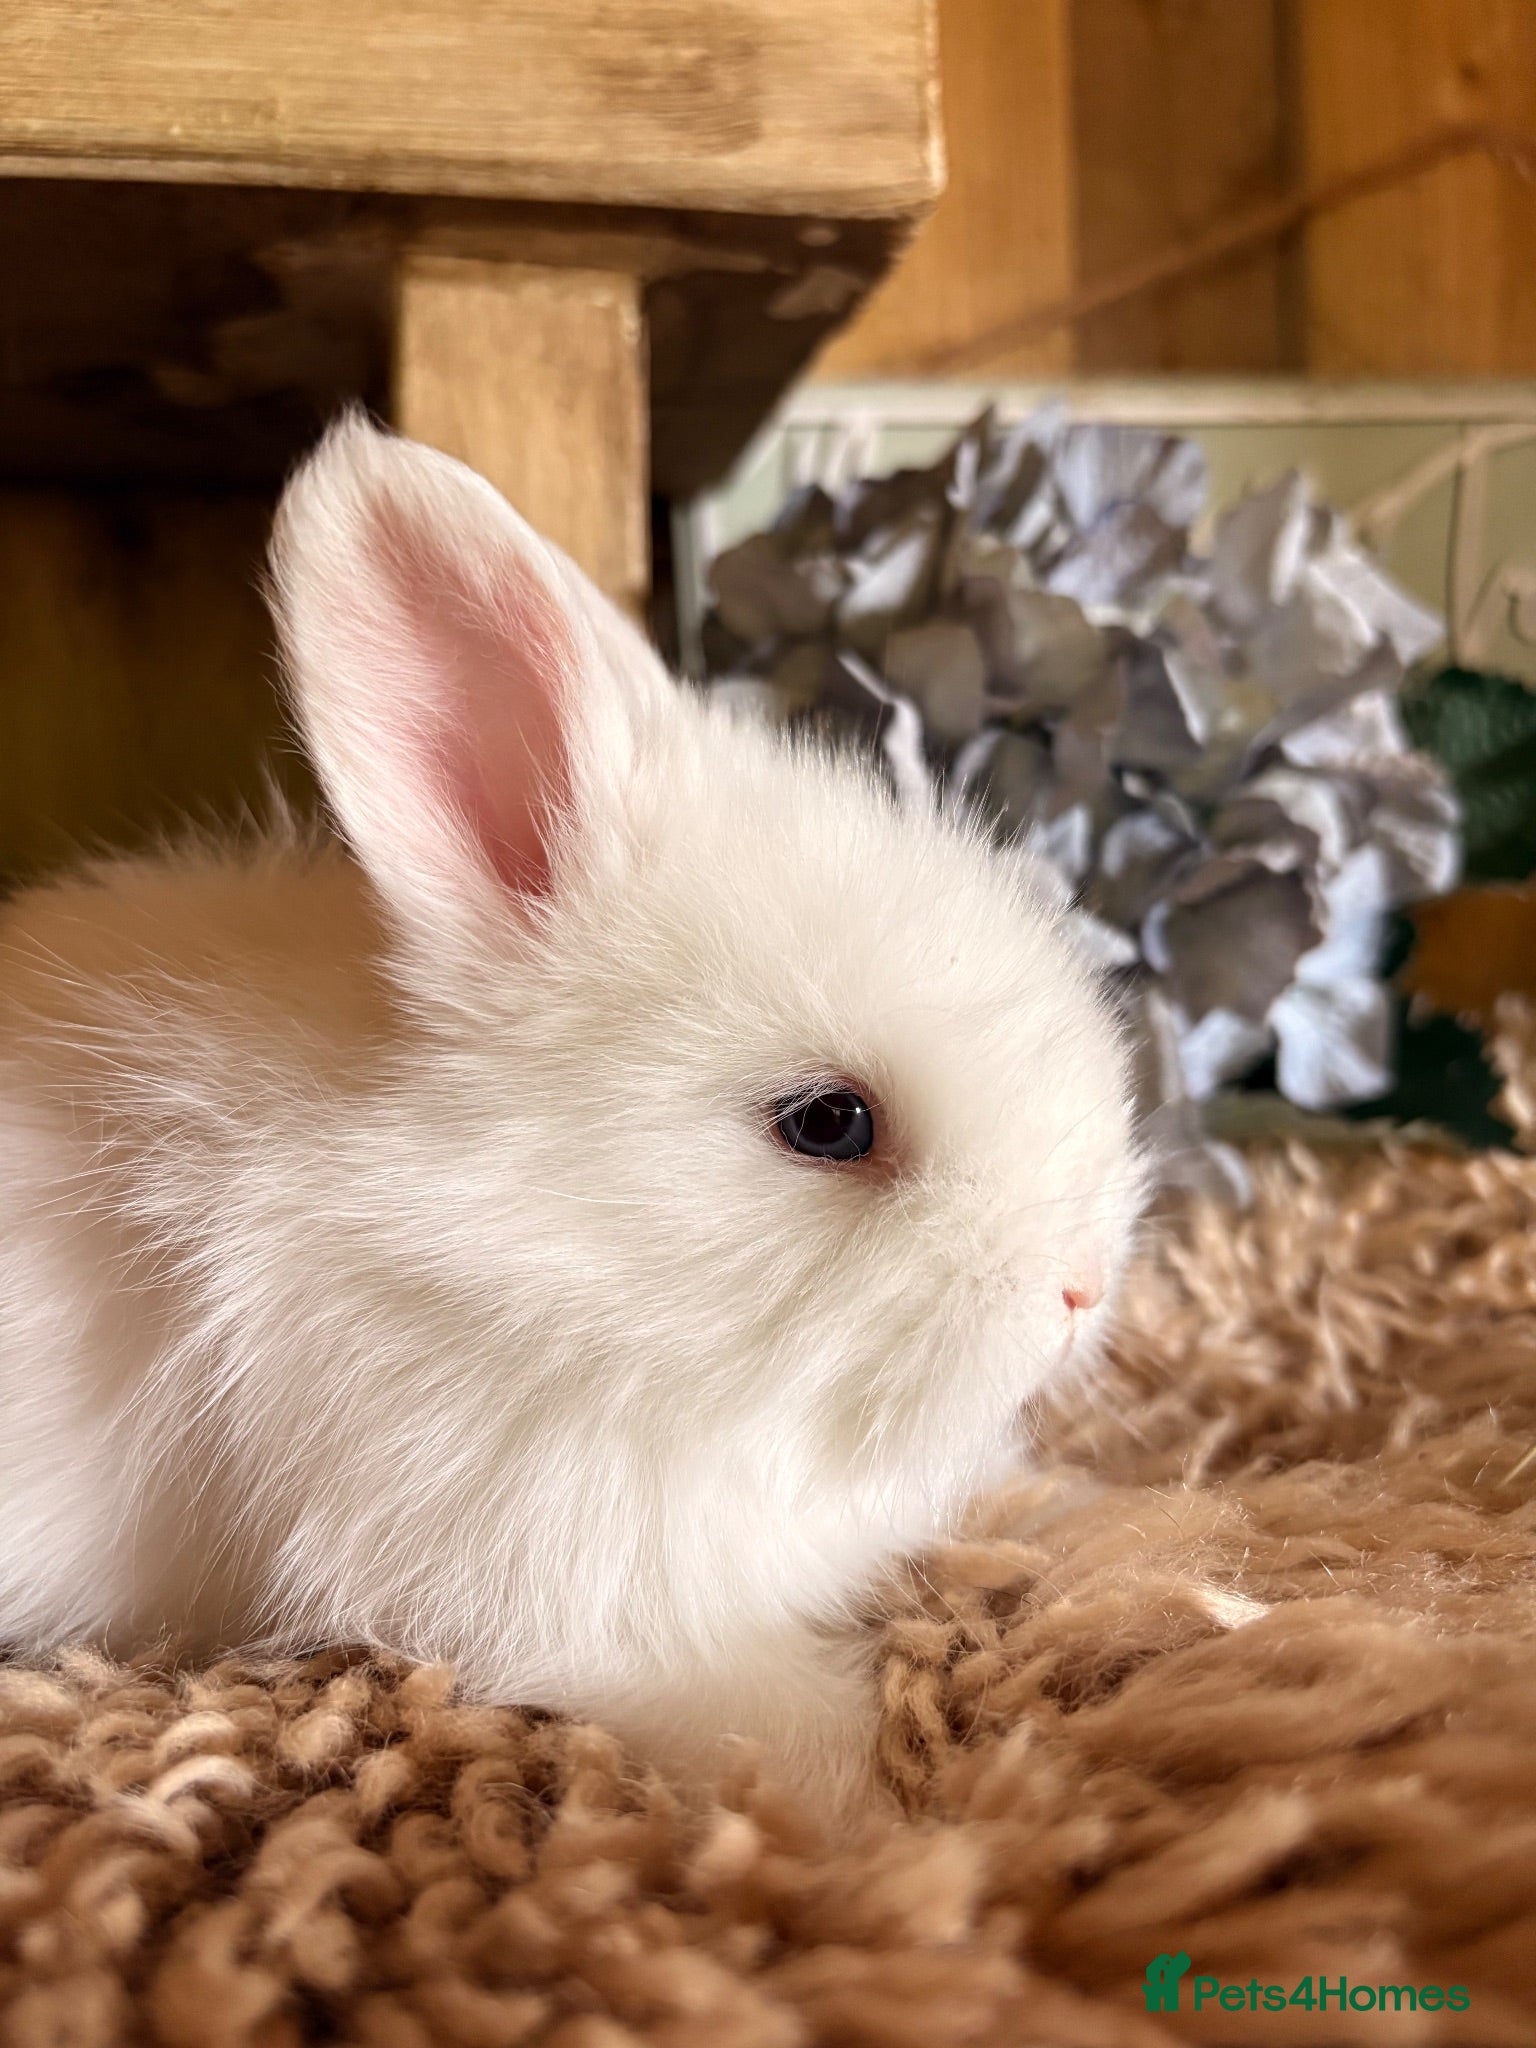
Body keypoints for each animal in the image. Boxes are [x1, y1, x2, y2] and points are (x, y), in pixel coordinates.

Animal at [0, 414, 1142, 1818]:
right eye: (828, 1122)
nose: (1084, 1284)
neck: (552, 1255)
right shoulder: (577, 1592)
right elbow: (797, 1733)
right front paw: (919, 1828)